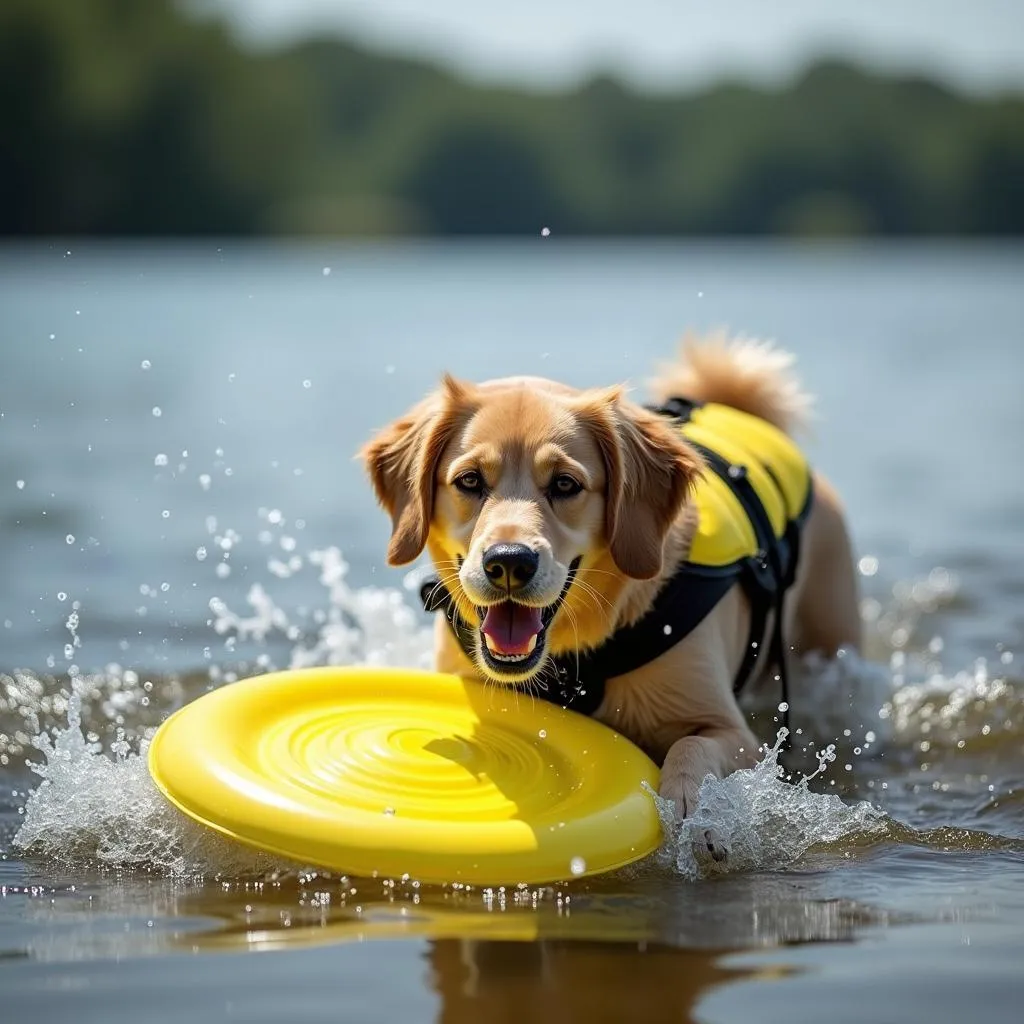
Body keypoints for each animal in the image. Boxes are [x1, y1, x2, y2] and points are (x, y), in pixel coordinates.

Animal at [364, 335, 860, 847]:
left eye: (565, 483)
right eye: (469, 480)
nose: (508, 562)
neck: (575, 655)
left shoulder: (736, 732)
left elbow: (691, 745)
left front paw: (697, 809)